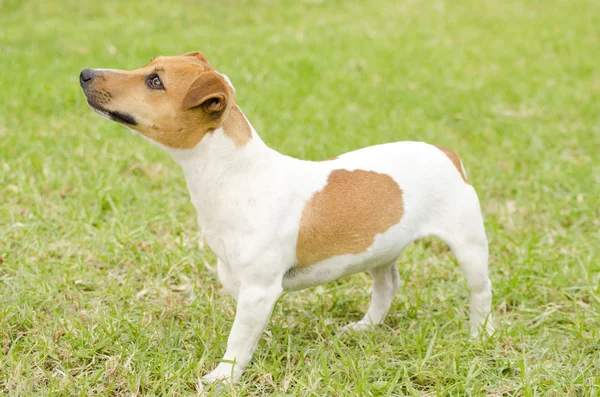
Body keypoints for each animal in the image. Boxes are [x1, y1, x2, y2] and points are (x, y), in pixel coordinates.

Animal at [78, 51, 492, 382]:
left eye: (155, 81)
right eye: (147, 66)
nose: (84, 72)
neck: (233, 175)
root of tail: (445, 152)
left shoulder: (260, 288)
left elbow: (237, 336)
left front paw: (223, 376)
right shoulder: (236, 279)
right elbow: (246, 330)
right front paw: (255, 349)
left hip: (469, 244)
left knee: (480, 291)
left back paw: (480, 336)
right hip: (381, 247)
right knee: (387, 284)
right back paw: (365, 326)